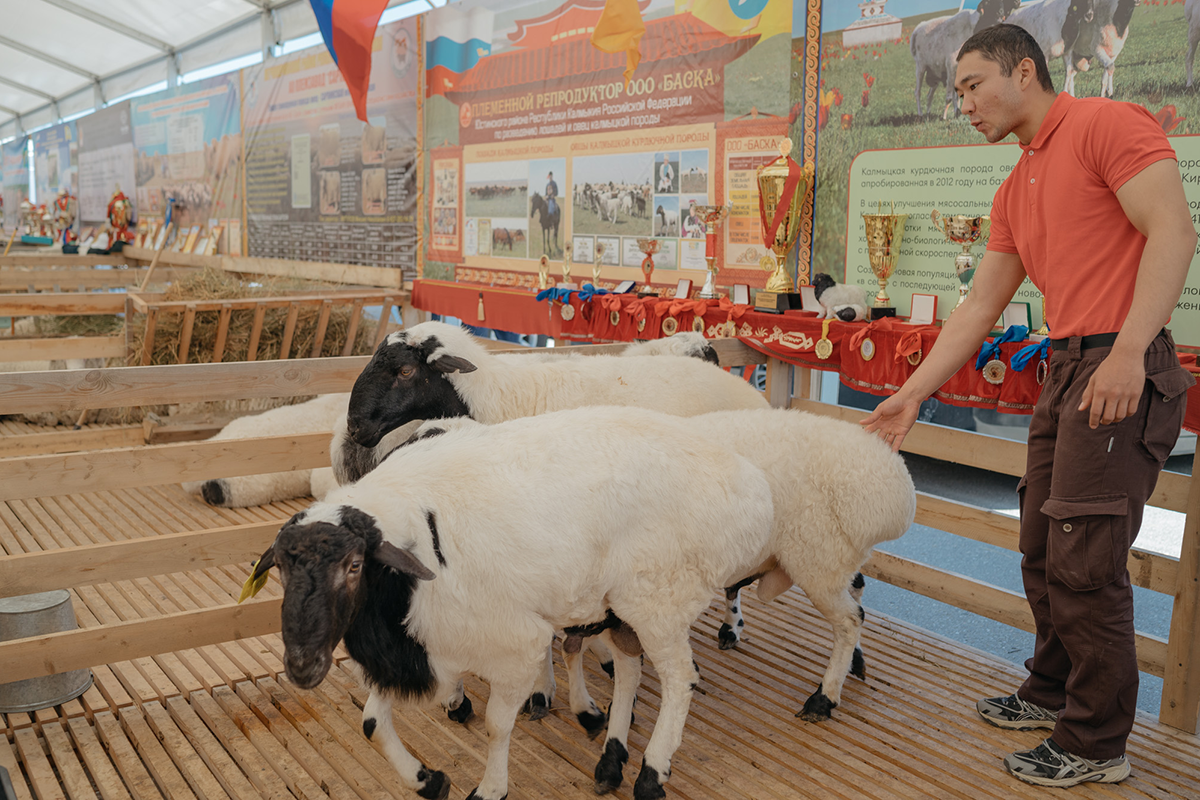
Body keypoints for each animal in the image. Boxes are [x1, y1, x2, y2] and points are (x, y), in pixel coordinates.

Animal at [253, 407, 777, 800]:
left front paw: (489, 789)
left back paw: (651, 773)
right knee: (630, 669)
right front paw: (428, 780)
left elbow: (496, 725)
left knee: (679, 680)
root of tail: (750, 484)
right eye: (281, 567)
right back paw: (611, 761)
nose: (301, 665)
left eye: (355, 565)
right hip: (622, 602)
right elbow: (371, 723)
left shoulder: (516, 644)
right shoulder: (418, 650)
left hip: (659, 596)